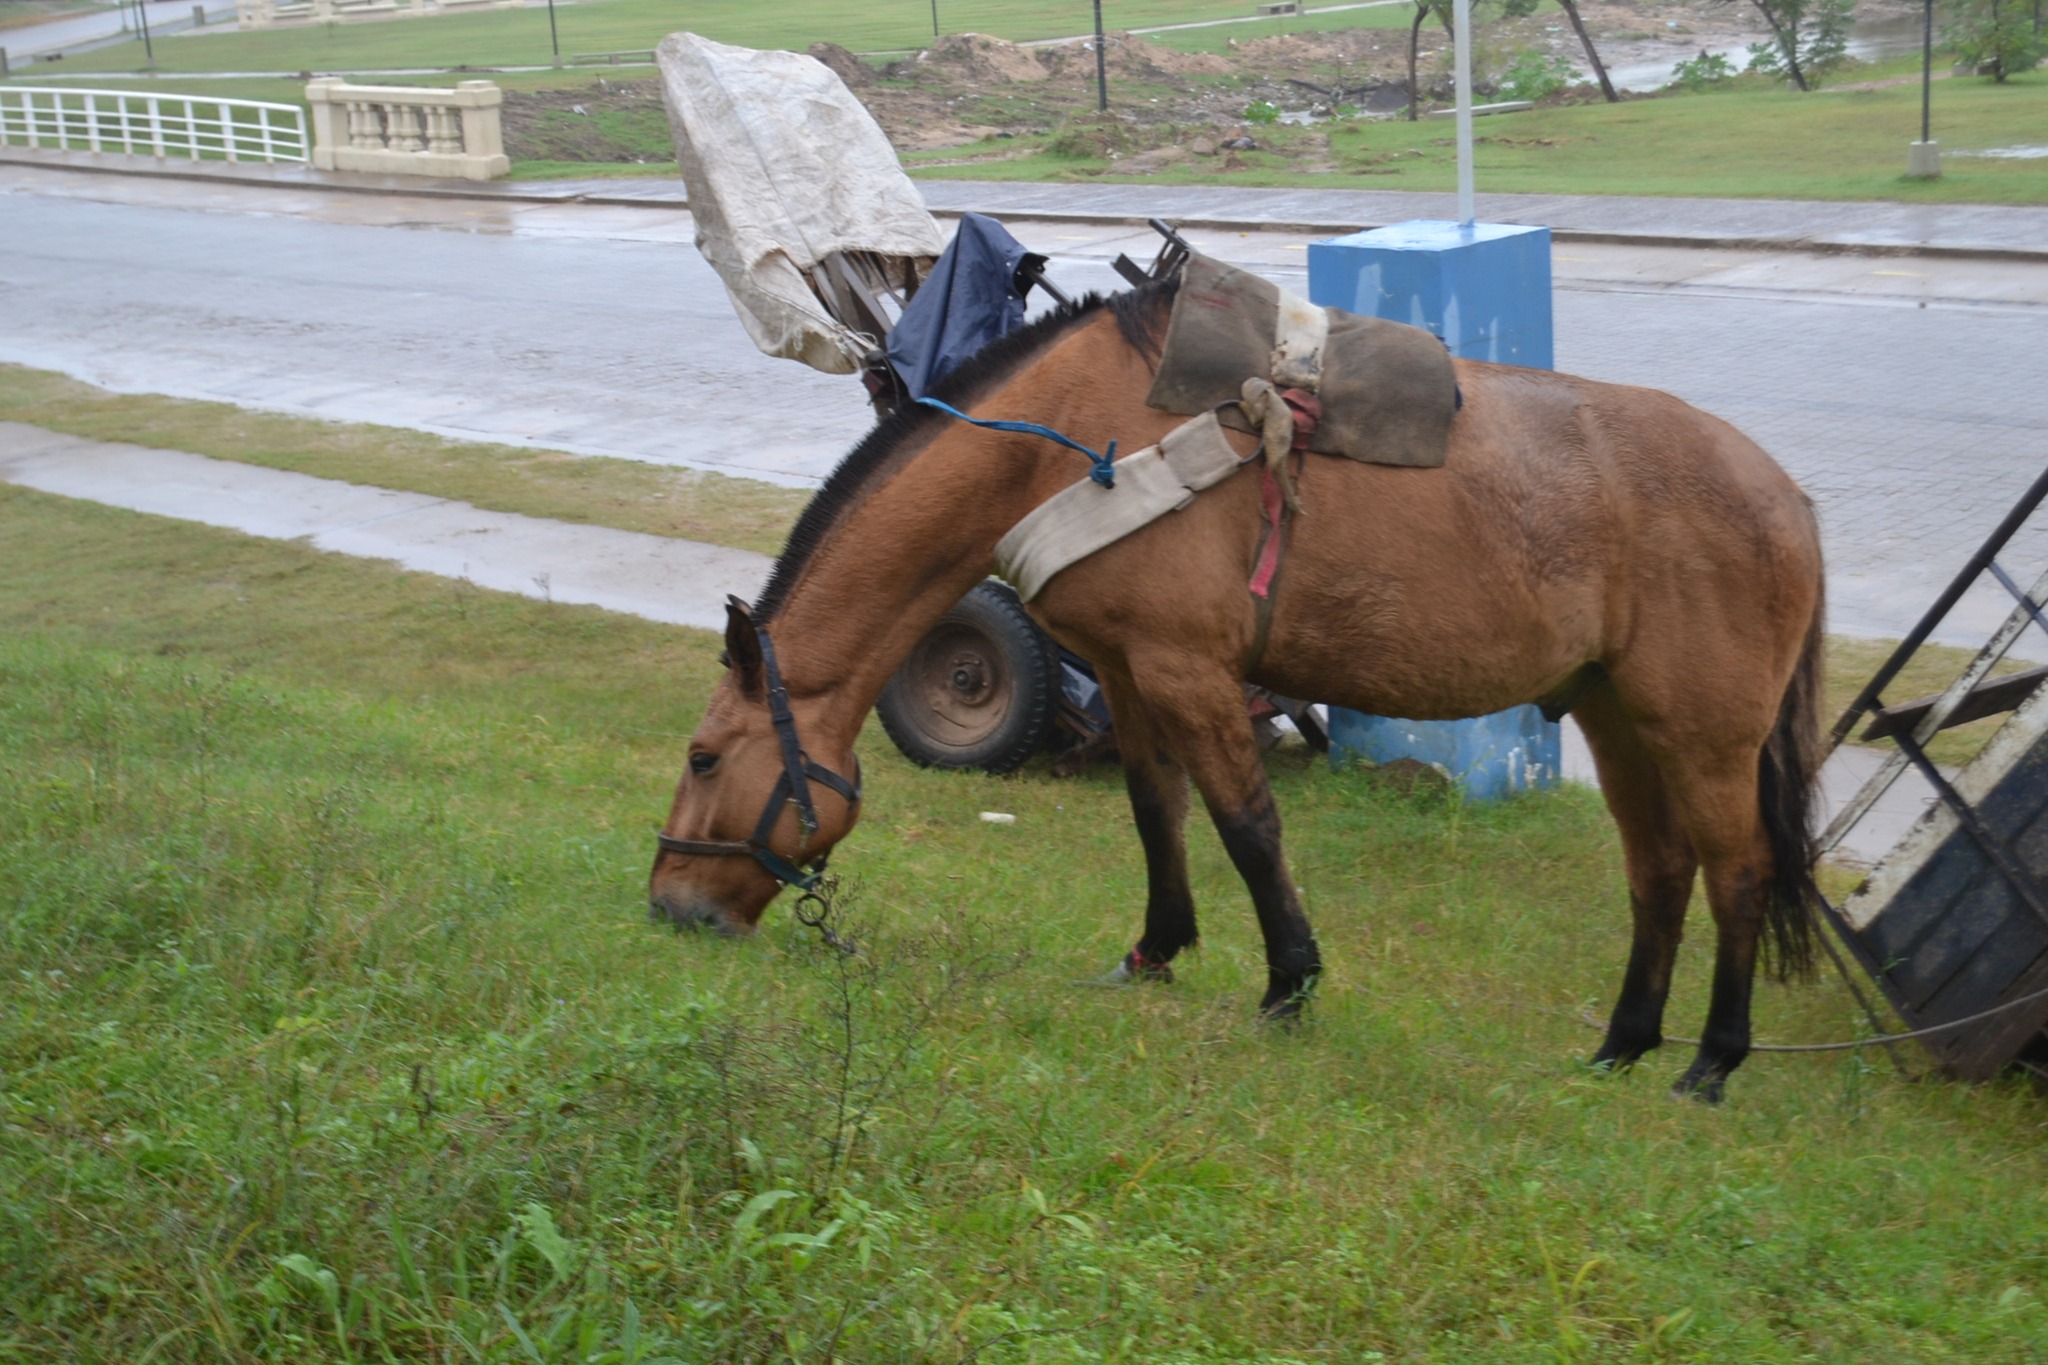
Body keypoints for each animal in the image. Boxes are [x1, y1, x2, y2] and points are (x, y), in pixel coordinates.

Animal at [649, 276, 1826, 1102]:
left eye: (704, 757)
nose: (670, 907)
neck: (1071, 439)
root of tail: (1785, 494)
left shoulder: (1187, 668)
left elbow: (1246, 825)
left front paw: (1287, 985)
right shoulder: (1128, 674)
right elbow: (1156, 815)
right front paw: (1153, 954)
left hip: (1704, 736)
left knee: (1736, 874)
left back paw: (1710, 1062)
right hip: (1617, 719)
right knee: (1659, 872)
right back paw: (1622, 1046)